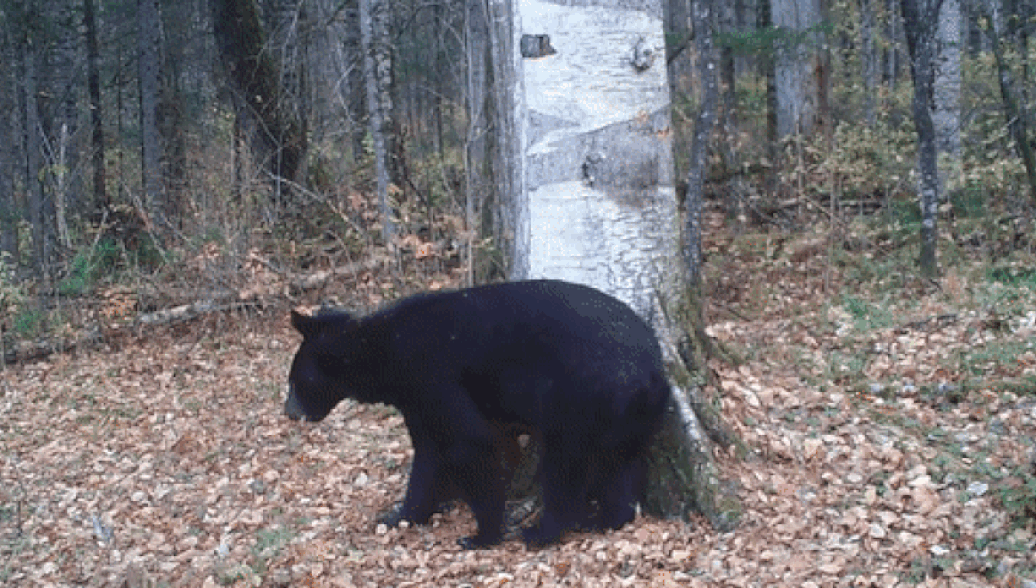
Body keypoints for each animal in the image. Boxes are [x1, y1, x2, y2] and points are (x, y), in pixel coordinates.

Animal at [285, 279, 670, 549]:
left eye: (298, 381)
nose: (289, 412)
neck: (386, 353)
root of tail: (653, 366)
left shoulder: (434, 378)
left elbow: (470, 443)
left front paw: (481, 536)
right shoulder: (416, 401)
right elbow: (427, 455)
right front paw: (401, 516)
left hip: (580, 398)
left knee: (565, 465)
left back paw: (542, 531)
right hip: (628, 414)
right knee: (621, 463)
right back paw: (609, 518)